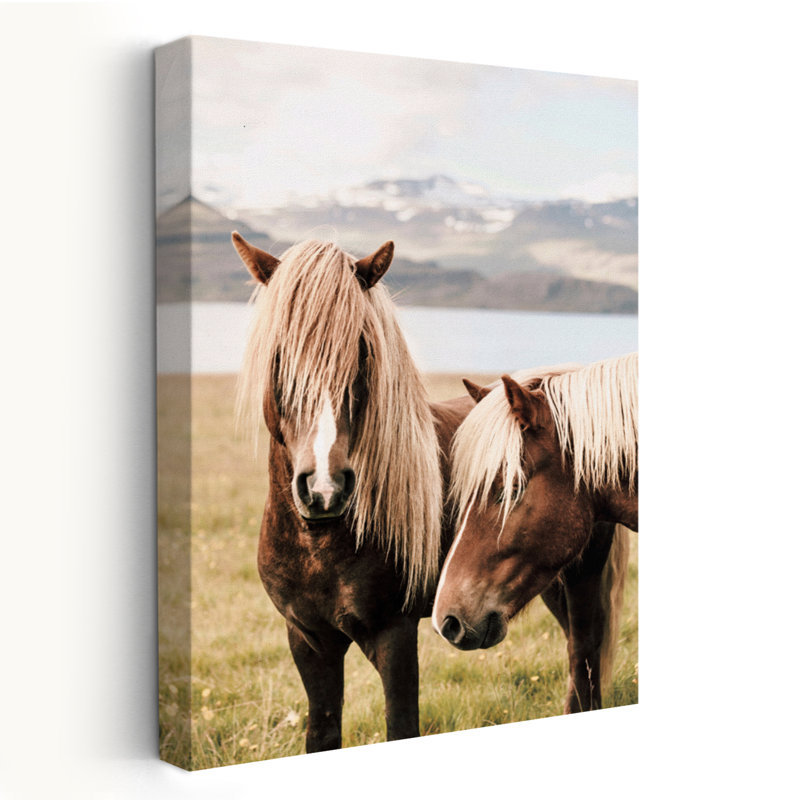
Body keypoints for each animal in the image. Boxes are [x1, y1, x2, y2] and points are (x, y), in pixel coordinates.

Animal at [232, 232, 474, 751]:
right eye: (279, 355)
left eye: (362, 353)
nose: (324, 489)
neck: (321, 546)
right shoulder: (308, 639)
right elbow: (322, 732)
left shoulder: (393, 634)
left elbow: (401, 726)